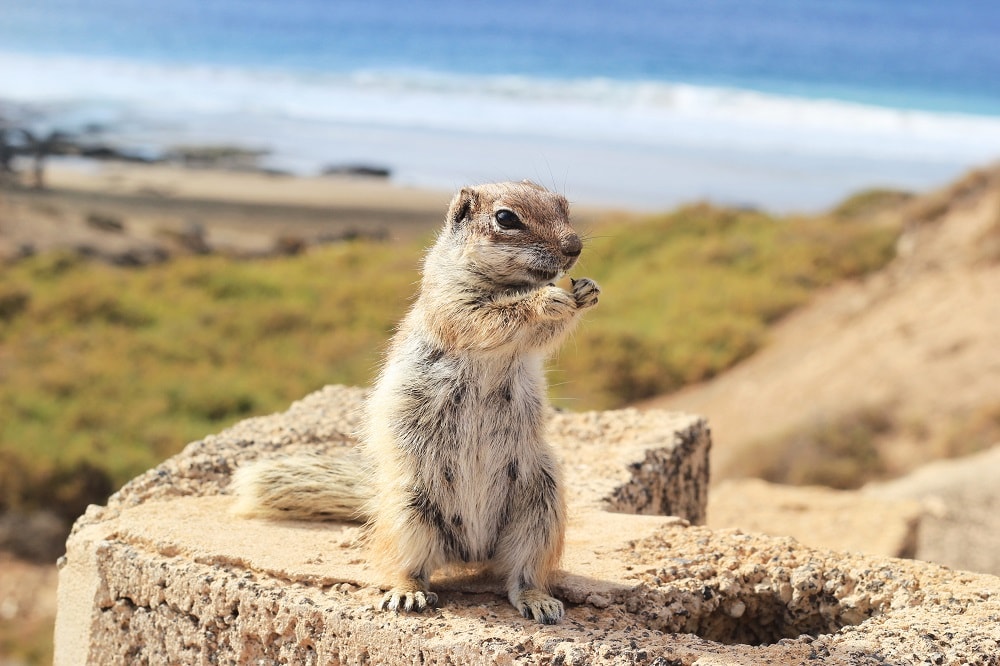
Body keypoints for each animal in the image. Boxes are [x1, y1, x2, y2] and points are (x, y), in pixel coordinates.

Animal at [230, 179, 596, 620]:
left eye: (565, 206)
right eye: (506, 218)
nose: (574, 247)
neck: (510, 284)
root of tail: (472, 550)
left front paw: (587, 291)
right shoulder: (453, 305)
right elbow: (492, 317)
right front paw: (548, 300)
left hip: (541, 506)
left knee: (522, 572)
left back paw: (538, 600)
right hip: (410, 512)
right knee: (408, 567)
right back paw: (408, 594)